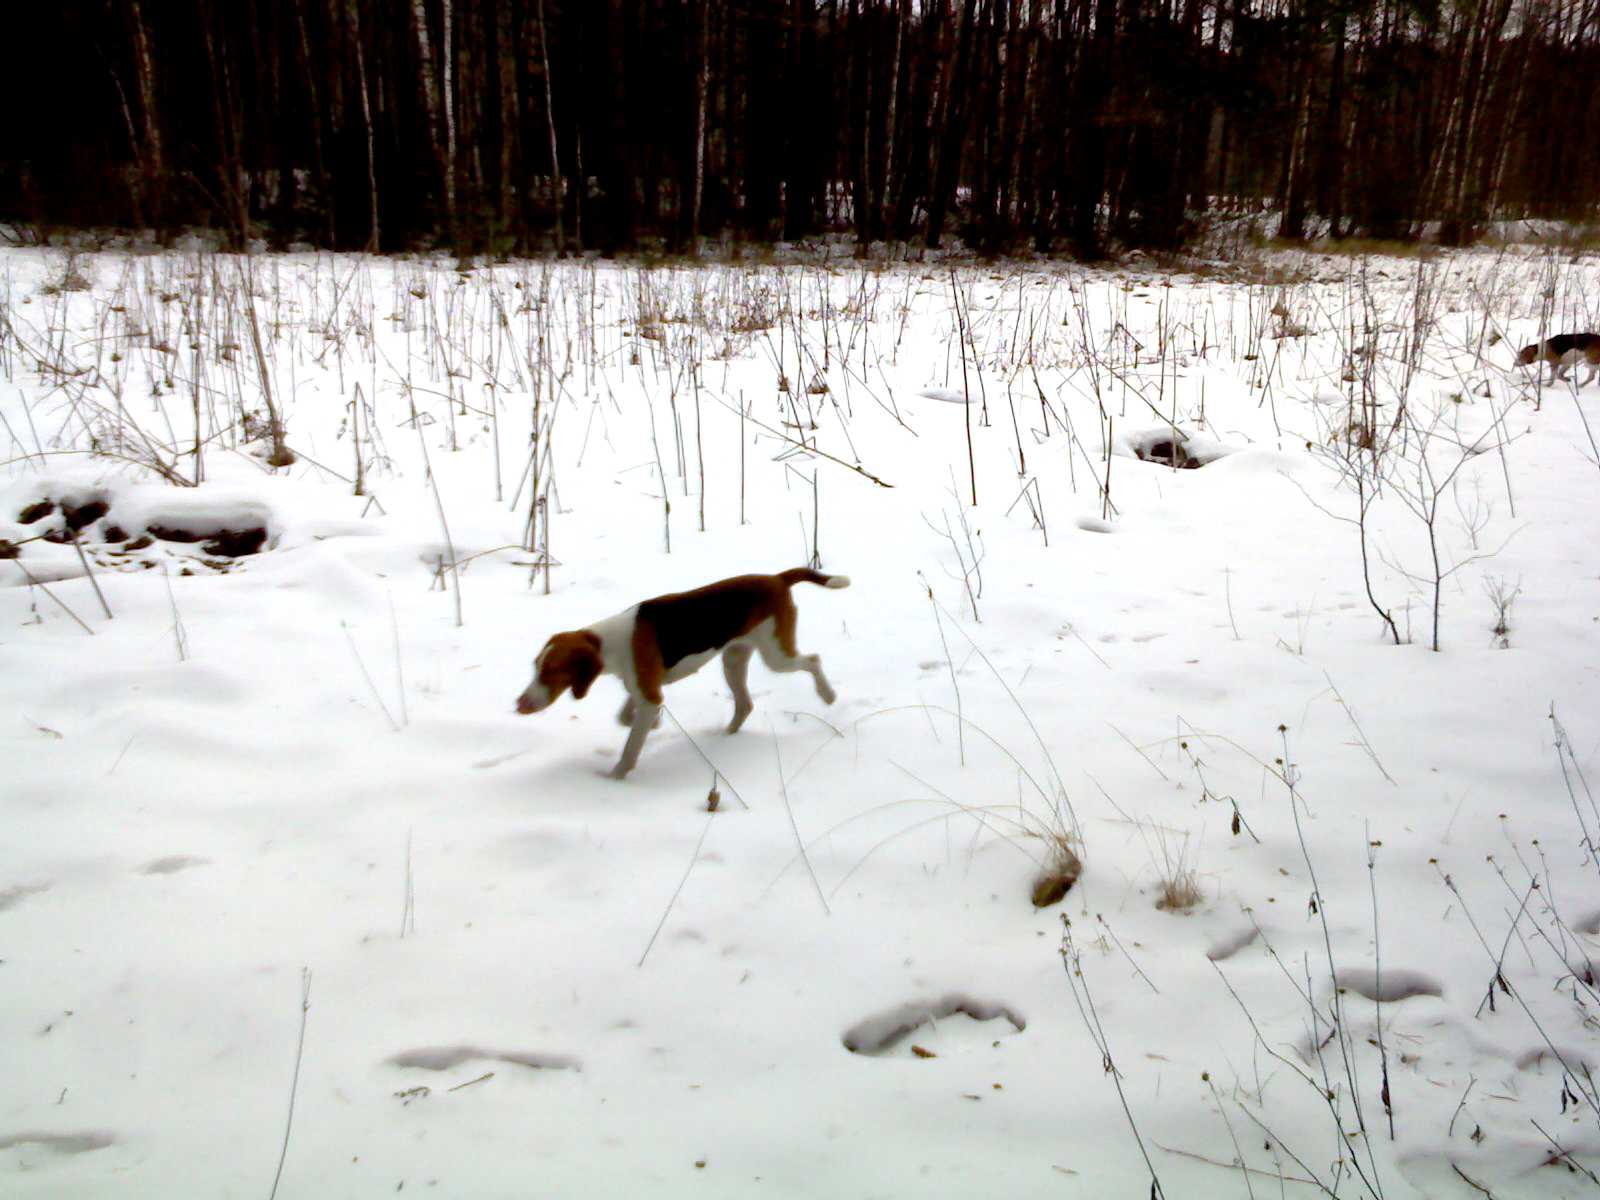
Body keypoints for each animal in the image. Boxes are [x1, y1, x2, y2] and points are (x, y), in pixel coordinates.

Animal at [518, 569, 857, 780]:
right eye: (535, 666)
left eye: (551, 672)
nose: (519, 705)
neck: (610, 642)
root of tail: (776, 578)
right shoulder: (642, 689)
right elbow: (627, 716)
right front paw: (655, 724)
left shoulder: (649, 695)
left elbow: (630, 746)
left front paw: (614, 778)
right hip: (734, 660)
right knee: (745, 705)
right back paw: (725, 738)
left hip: (776, 656)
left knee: (813, 660)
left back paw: (828, 695)